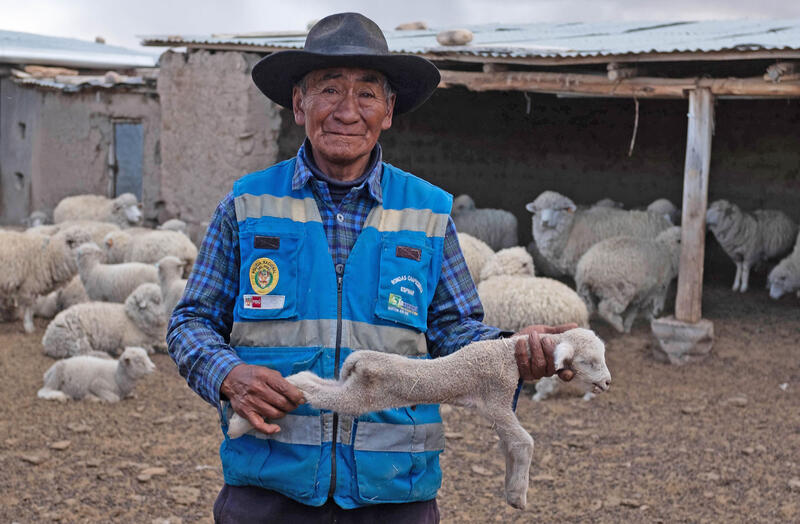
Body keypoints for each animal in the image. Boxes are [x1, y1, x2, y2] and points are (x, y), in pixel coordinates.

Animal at [225, 330, 612, 510]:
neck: (508, 355)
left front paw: (510, 486)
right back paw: (242, 420)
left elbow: (511, 444)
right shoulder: (497, 400)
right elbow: (524, 442)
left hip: (349, 385)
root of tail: (360, 359)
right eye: (590, 361)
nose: (608, 383)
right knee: (309, 388)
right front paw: (518, 495)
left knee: (309, 379)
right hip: (360, 397)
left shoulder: (498, 408)